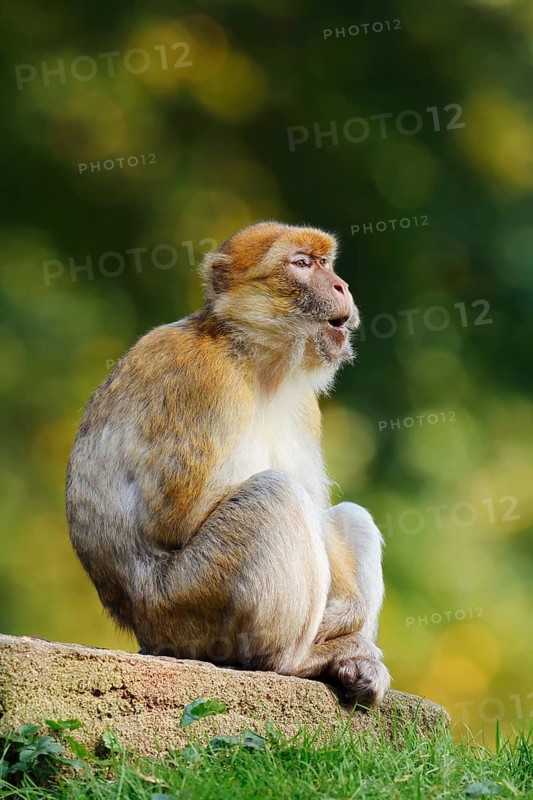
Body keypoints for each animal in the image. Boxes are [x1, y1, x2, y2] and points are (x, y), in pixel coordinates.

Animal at [66, 220, 391, 706]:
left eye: (325, 263)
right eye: (301, 263)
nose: (341, 286)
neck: (256, 360)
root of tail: (145, 632)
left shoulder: (303, 406)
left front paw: (349, 617)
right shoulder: (205, 378)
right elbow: (179, 519)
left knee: (347, 515)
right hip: (190, 605)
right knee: (275, 493)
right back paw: (293, 660)